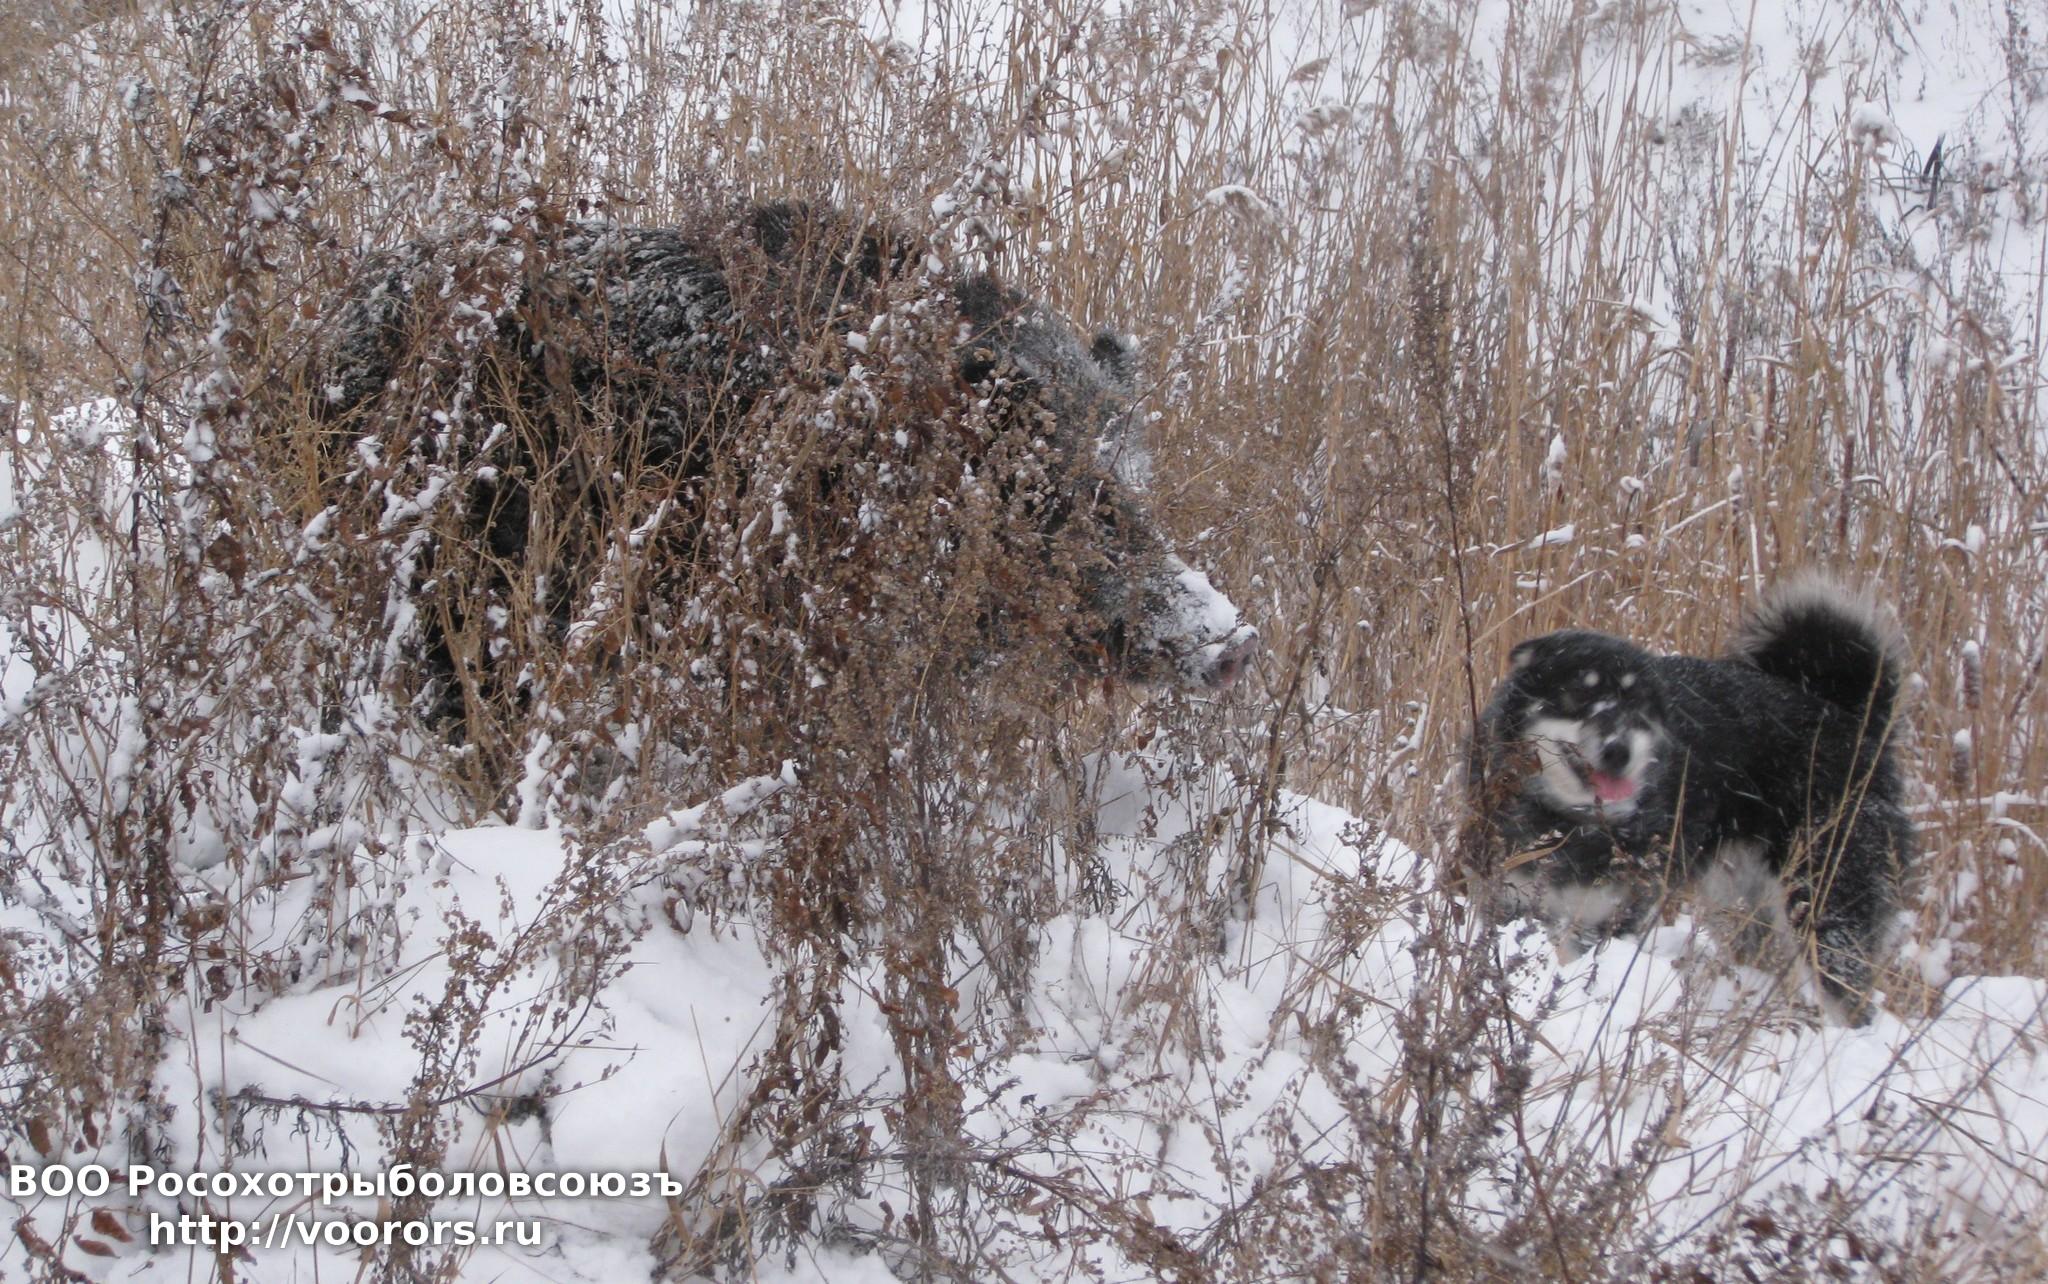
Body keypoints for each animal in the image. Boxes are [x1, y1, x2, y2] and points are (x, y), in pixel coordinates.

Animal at [1467, 575, 1914, 1024]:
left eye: (1640, 708)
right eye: (1578, 695)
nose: (1618, 751)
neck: (1568, 821)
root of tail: (1853, 722)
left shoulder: (1608, 918)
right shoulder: (1506, 902)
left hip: (1824, 905)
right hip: (1743, 906)